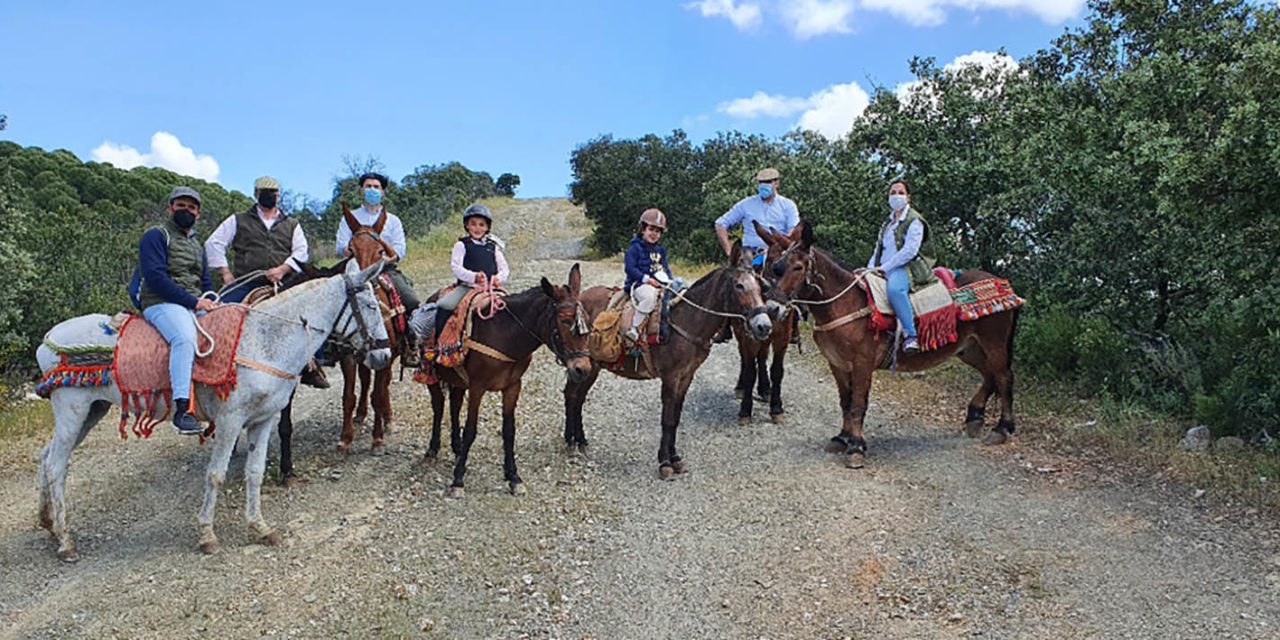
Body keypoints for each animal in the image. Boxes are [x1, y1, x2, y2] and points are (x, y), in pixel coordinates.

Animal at [36, 259, 394, 560]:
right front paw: (207, 534)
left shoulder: (263, 420)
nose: (384, 355)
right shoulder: (231, 421)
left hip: (90, 411)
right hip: (72, 411)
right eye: (370, 305)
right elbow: (216, 475)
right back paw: (66, 541)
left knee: (46, 456)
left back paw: (49, 524)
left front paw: (260, 527)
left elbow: (255, 472)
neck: (264, 340)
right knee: (56, 466)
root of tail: (47, 339)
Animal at [335, 202, 404, 458]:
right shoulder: (348, 356)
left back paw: (387, 417)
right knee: (365, 381)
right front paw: (345, 439)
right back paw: (361, 415)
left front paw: (377, 438)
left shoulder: (385, 354)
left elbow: (378, 394)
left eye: (380, 251)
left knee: (383, 386)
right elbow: (349, 396)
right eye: (350, 250)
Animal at [427, 262, 591, 496]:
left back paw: (456, 449)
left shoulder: (513, 387)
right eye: (566, 321)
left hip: (457, 380)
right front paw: (458, 480)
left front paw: (513, 477)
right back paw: (432, 448)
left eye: (587, 321)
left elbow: (509, 431)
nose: (582, 369)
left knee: (454, 406)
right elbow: (471, 430)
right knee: (439, 407)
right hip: (431, 376)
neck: (504, 334)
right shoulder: (477, 387)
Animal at [563, 241, 778, 478]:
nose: (764, 326)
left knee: (578, 397)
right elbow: (666, 419)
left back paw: (580, 440)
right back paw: (571, 442)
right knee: (572, 395)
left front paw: (675, 459)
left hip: (590, 368)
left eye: (760, 287)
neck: (686, 320)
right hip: (586, 366)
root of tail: (578, 300)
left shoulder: (686, 377)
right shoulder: (670, 377)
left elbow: (675, 418)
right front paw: (665, 463)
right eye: (739, 285)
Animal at [757, 222, 1018, 468]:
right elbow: (845, 402)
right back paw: (975, 417)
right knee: (990, 375)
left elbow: (858, 404)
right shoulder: (837, 364)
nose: (772, 308)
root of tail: (1003, 285)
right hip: (969, 348)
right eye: (775, 266)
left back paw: (1001, 428)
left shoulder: (862, 364)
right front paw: (842, 438)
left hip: (993, 342)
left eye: (797, 267)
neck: (845, 303)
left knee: (1003, 377)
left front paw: (856, 448)